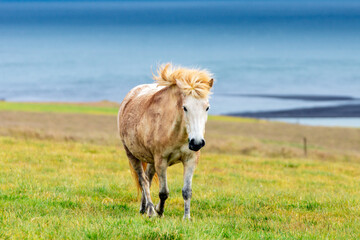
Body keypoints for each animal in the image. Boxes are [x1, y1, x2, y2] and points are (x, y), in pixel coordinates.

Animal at [118, 63, 214, 219]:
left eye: (207, 107)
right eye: (185, 108)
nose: (197, 143)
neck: (178, 134)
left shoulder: (190, 160)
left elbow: (187, 191)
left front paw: (186, 217)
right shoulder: (161, 161)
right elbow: (163, 192)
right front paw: (159, 211)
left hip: (151, 160)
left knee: (149, 178)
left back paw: (144, 208)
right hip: (132, 155)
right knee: (143, 181)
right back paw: (150, 209)